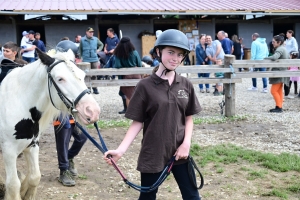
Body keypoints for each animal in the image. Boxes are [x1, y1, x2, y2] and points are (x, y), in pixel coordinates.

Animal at [0, 48, 101, 200]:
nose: (92, 111)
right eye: (60, 79)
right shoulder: (9, 150)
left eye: (83, 76)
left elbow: (35, 177)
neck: (16, 101)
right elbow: (13, 185)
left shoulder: (32, 145)